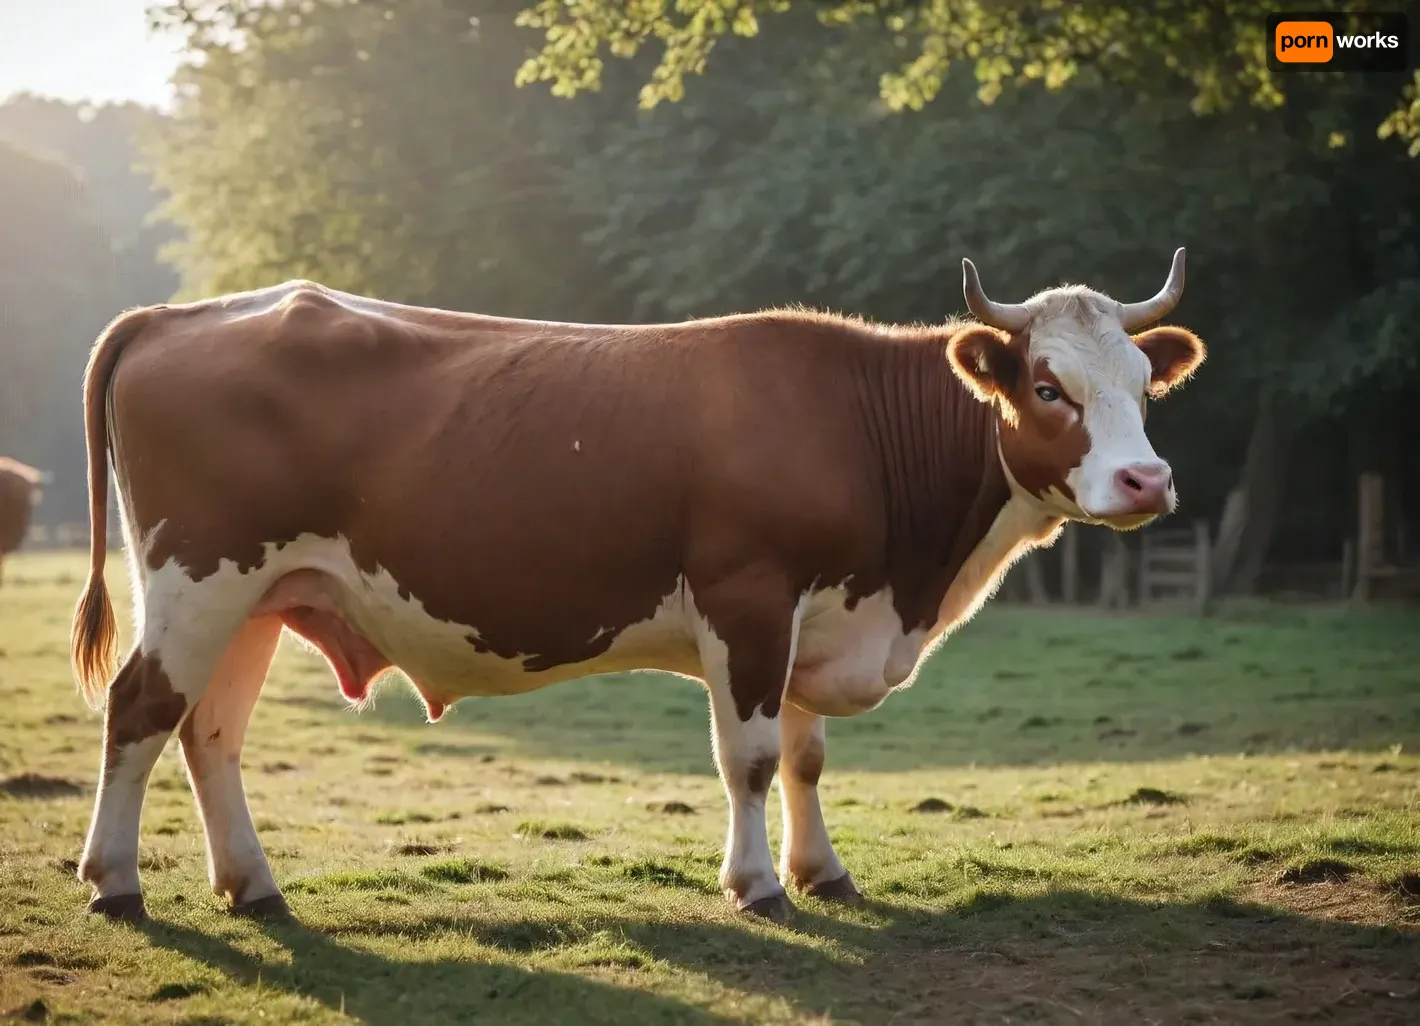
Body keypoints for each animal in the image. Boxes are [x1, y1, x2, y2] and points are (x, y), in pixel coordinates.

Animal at [70, 249, 1205, 923]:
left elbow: (806, 758)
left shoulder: (816, 617)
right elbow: (750, 759)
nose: (1147, 480)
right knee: (141, 708)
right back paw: (115, 881)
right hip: (197, 579)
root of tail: (180, 314)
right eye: (1049, 387)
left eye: (1145, 388)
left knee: (211, 730)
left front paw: (821, 871)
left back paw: (250, 884)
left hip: (255, 597)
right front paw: (757, 886)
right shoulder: (749, 598)